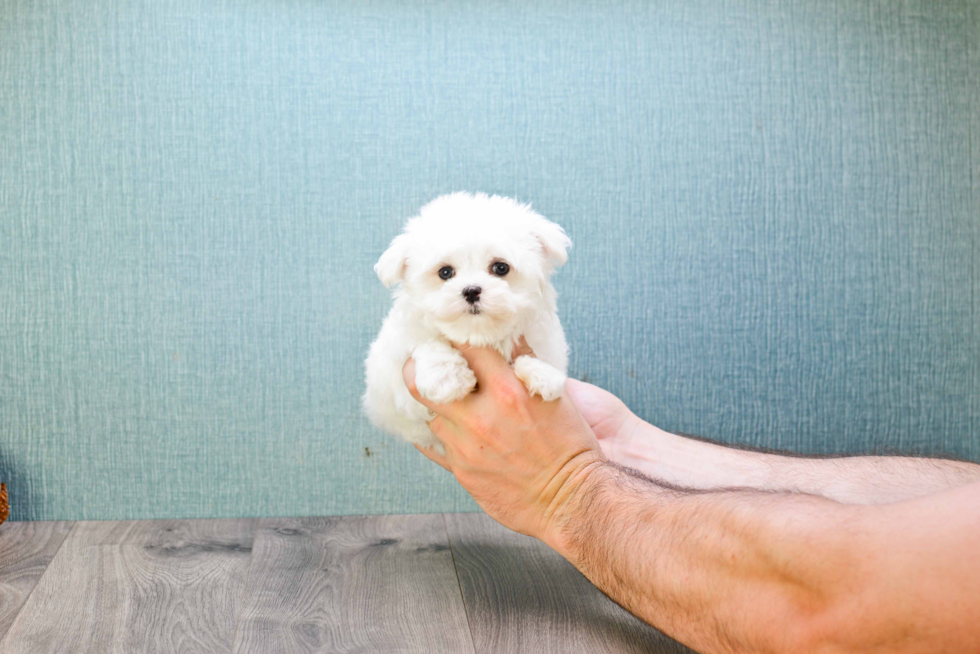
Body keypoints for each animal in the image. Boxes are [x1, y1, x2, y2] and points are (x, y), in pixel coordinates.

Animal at [364, 192, 572, 454]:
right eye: (445, 272)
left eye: (500, 267)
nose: (471, 290)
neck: (478, 334)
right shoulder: (394, 385)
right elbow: (427, 343)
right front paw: (446, 376)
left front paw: (541, 373)